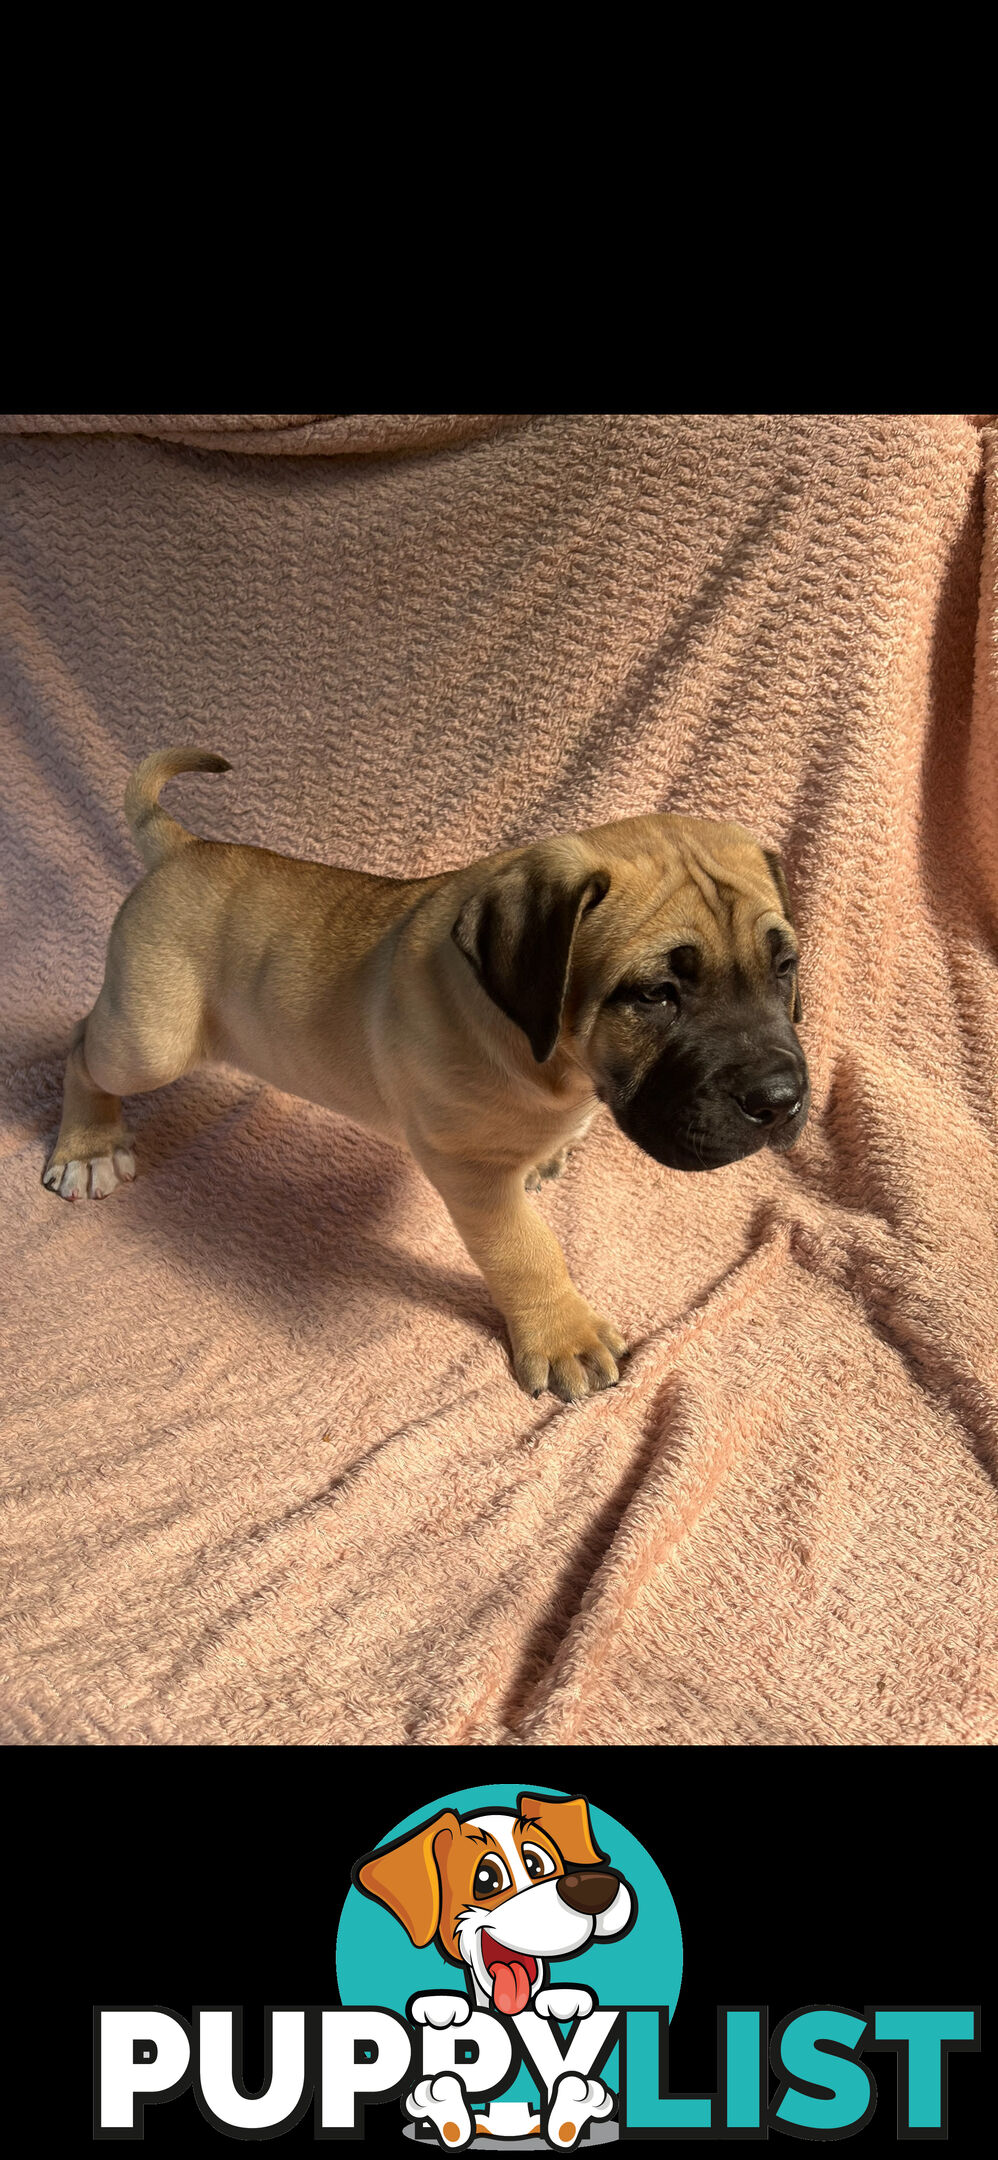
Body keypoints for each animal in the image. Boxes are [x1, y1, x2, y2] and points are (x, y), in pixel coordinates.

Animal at [48, 756, 812, 1399]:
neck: (552, 1059)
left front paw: (550, 1156)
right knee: (83, 1045)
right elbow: (525, 1251)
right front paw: (562, 1336)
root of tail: (183, 847)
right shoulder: (467, 1165)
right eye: (654, 995)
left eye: (784, 967)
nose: (781, 1101)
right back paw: (87, 1146)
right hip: (152, 1038)